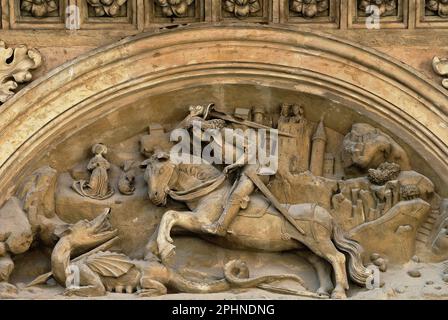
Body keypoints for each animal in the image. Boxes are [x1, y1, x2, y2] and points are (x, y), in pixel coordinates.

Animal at [141, 154, 372, 298]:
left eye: (160, 171)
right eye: (147, 174)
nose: (154, 197)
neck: (209, 192)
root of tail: (328, 216)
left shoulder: (201, 223)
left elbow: (169, 215)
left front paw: (166, 250)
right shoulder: (193, 224)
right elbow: (164, 224)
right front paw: (154, 253)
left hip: (319, 243)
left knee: (337, 258)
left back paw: (339, 292)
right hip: (304, 248)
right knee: (321, 264)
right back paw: (323, 291)